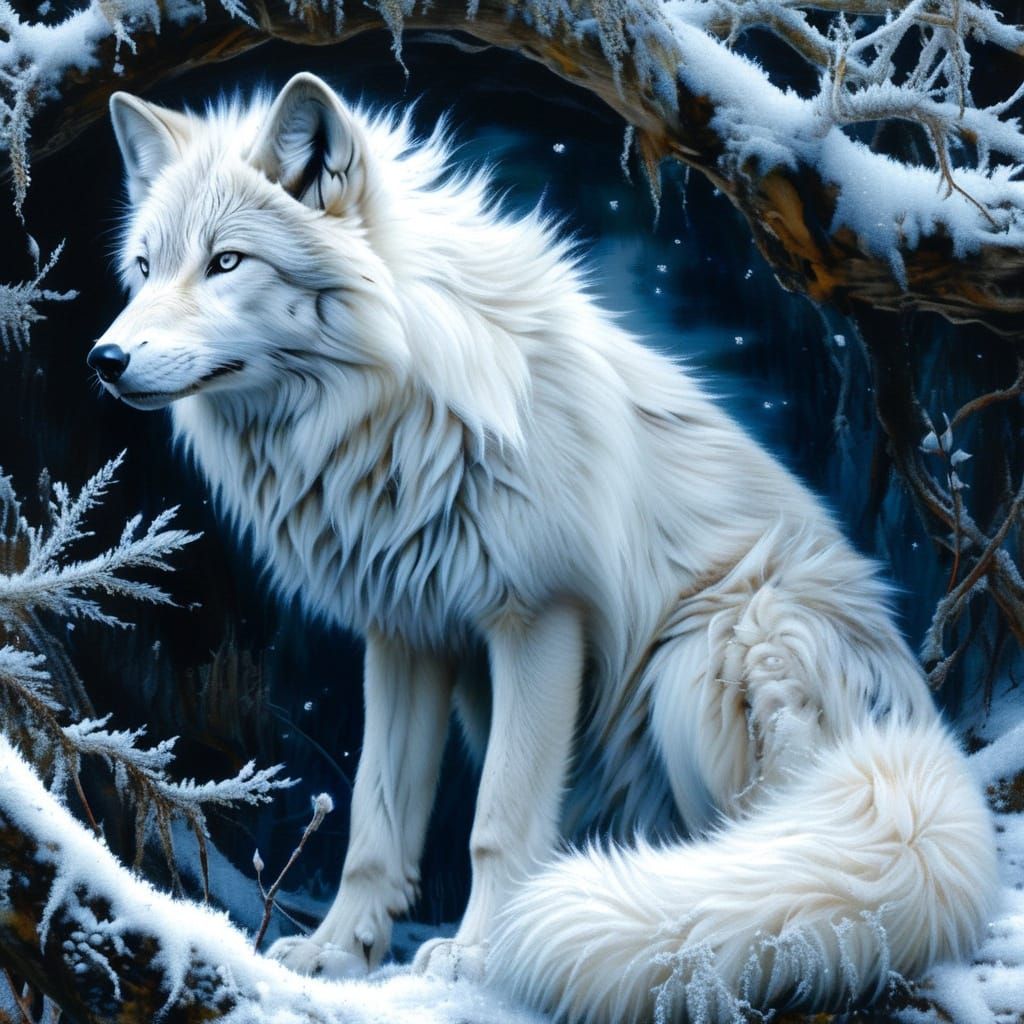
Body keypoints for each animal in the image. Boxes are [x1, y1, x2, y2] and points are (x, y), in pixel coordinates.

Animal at [90, 72, 996, 1022]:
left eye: (227, 262)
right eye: (145, 268)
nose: (103, 360)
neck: (388, 417)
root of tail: (918, 731)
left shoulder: (541, 618)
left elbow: (498, 822)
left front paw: (477, 957)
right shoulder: (406, 633)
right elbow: (376, 821)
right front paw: (339, 954)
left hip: (717, 646)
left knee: (773, 844)